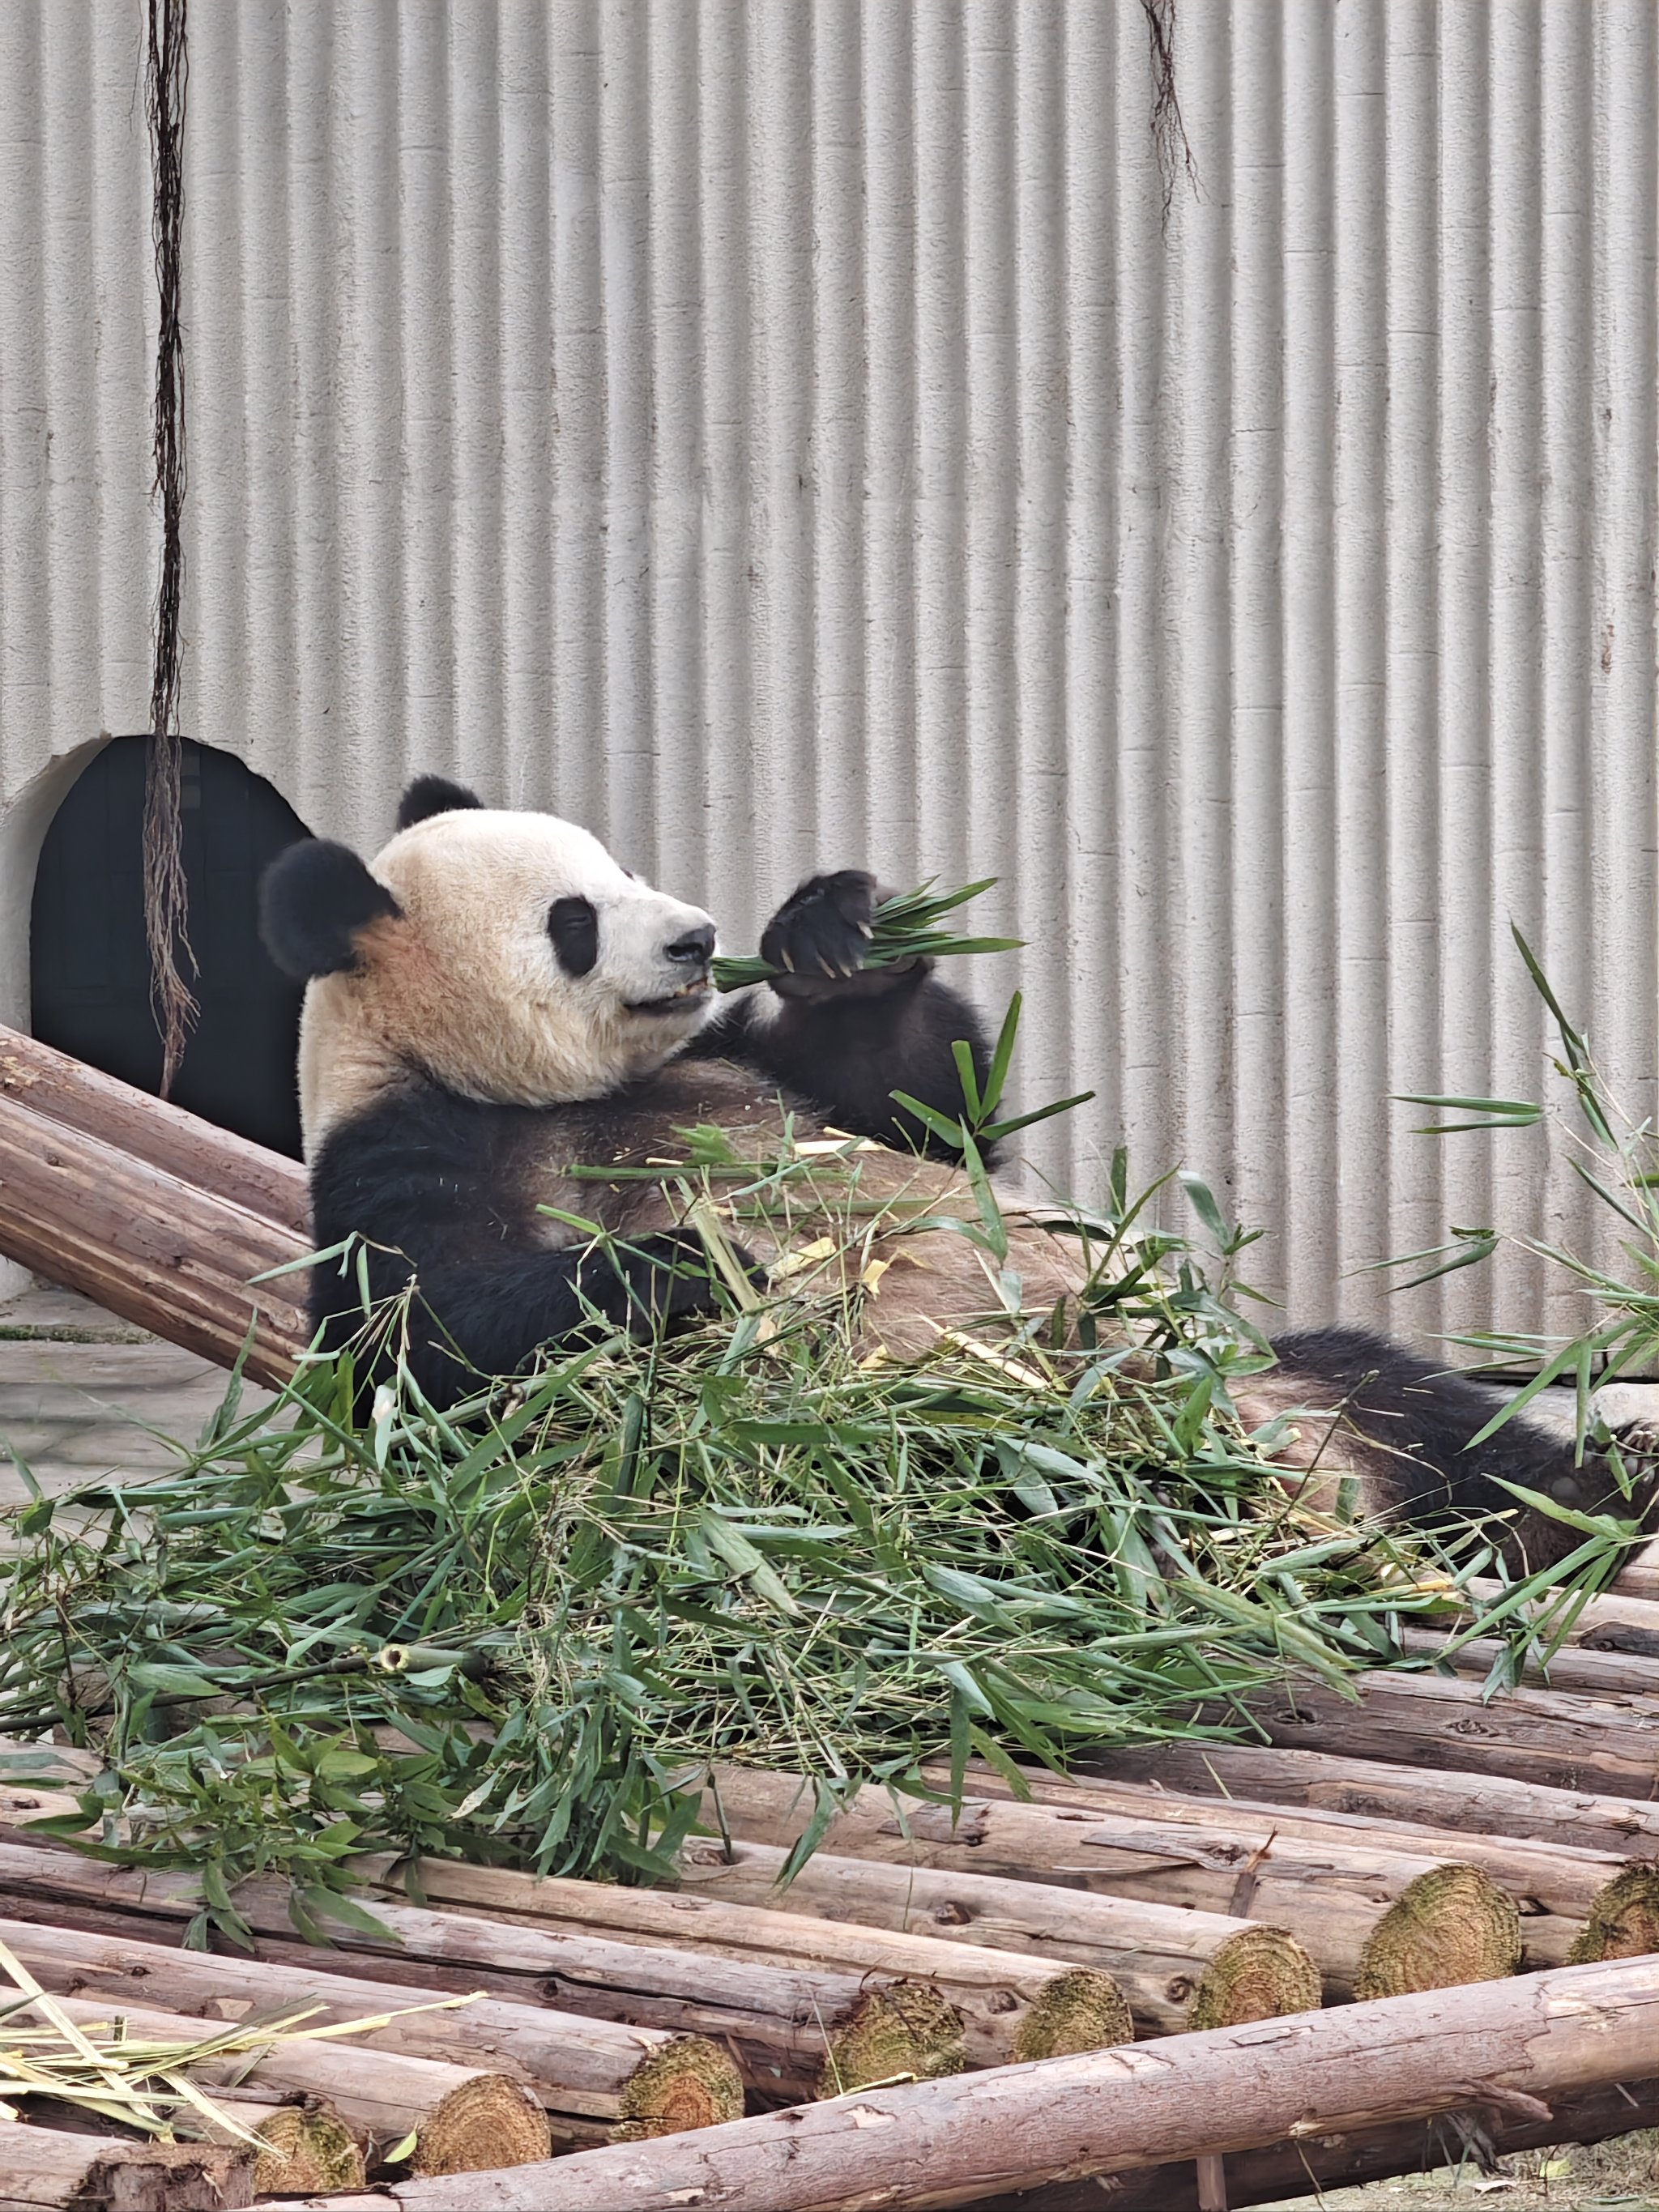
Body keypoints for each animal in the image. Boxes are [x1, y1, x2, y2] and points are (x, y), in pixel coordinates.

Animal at [259, 778, 1654, 1575]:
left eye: (625, 869)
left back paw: (1592, 1494)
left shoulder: (745, 1065)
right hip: (970, 1457)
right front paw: (692, 1267)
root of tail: (1331, 1493)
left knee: (1423, 1405)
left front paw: (836, 933)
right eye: (575, 920)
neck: (547, 1091)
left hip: (1258, 1366)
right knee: (1081, 1488)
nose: (699, 937)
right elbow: (425, 1351)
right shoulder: (405, 1154)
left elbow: (927, 1107)